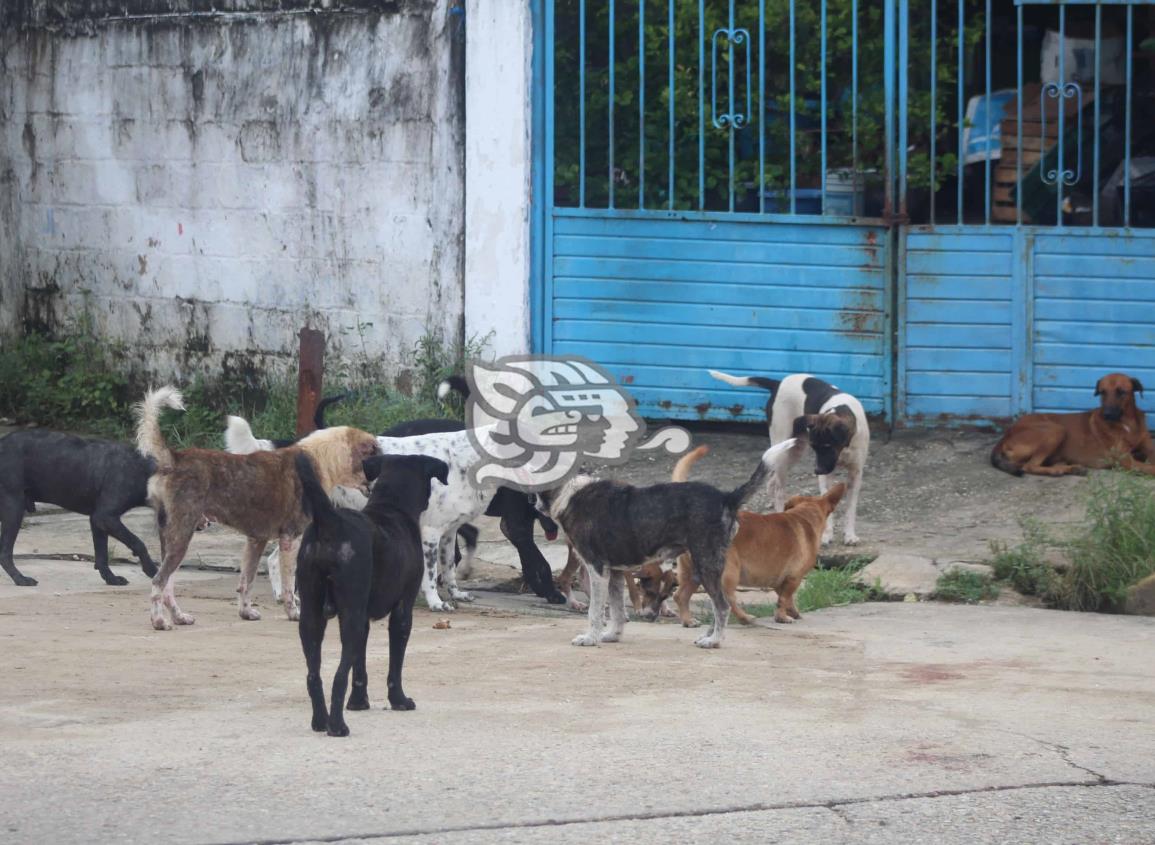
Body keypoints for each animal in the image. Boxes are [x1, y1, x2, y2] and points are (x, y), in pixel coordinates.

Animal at [0, 429, 162, 586]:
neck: (143, 471)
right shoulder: (105, 517)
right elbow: (137, 542)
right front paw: (152, 570)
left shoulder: (98, 521)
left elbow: (102, 555)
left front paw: (111, 579)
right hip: (14, 509)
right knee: (5, 553)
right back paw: (21, 579)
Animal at [134, 385, 378, 632]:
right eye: (376, 453)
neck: (320, 460)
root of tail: (175, 458)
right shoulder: (291, 539)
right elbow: (289, 585)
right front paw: (294, 613)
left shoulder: (255, 540)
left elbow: (246, 581)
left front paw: (246, 612)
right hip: (181, 537)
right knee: (158, 581)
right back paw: (159, 621)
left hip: (172, 540)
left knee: (167, 586)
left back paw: (178, 617)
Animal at [295, 452, 448, 734]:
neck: (391, 506)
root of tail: (330, 522)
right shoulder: (402, 610)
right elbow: (394, 664)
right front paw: (399, 700)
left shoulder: (363, 618)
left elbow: (360, 665)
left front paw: (358, 702)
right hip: (350, 617)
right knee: (339, 675)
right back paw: (337, 726)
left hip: (311, 615)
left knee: (314, 674)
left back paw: (320, 721)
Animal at [665, 445, 845, 623]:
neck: (804, 516)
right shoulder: (793, 578)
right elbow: (784, 599)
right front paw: (782, 617)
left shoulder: (782, 582)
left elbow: (788, 599)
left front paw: (793, 612)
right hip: (728, 573)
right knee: (728, 600)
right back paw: (745, 617)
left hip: (693, 574)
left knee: (681, 596)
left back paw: (688, 621)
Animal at [706, 371, 868, 547]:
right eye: (815, 447)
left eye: (827, 445)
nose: (817, 470)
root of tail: (777, 383)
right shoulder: (826, 474)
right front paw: (827, 535)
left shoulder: (855, 473)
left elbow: (851, 508)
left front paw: (850, 535)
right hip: (782, 451)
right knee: (778, 488)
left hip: (794, 451)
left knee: (771, 481)